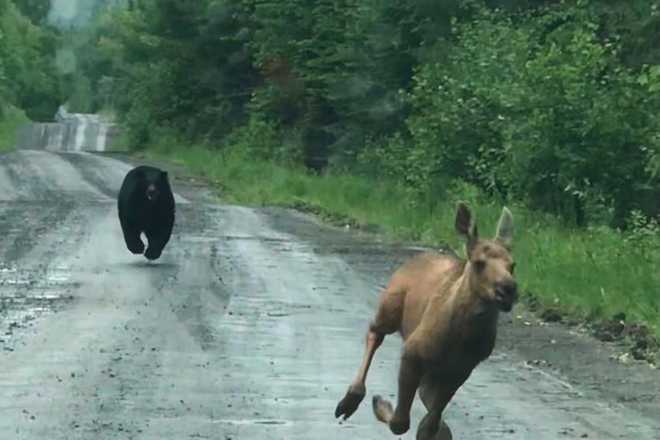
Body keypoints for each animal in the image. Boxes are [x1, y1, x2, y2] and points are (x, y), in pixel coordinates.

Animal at [334, 202, 517, 439]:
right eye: (479, 262)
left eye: (513, 265)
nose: (508, 289)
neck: (463, 336)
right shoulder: (412, 352)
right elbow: (401, 422)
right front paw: (381, 404)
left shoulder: (461, 369)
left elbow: (430, 422)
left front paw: (436, 429)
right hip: (390, 307)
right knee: (375, 332)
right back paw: (351, 399)